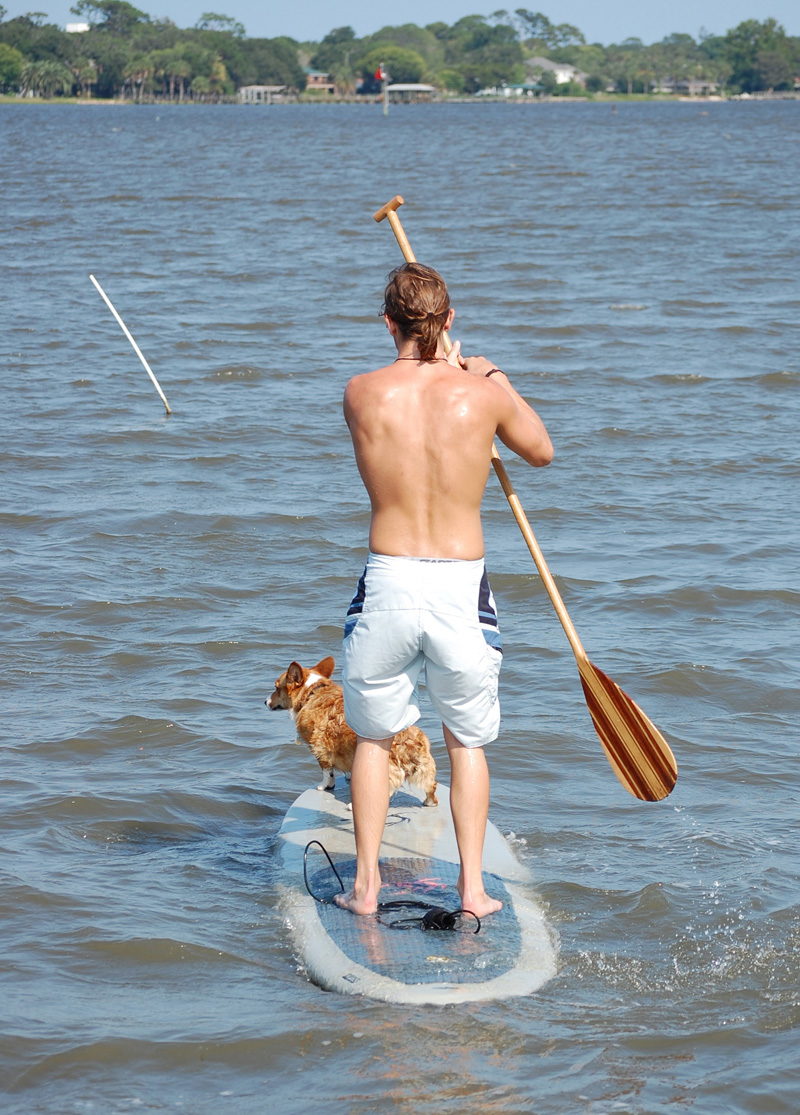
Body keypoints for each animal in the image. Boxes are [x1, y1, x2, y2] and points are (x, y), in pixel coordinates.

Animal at [268, 655, 437, 807]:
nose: (265, 701)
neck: (311, 692)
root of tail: (411, 742)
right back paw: (429, 802)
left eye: (276, 688)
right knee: (432, 786)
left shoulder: (319, 749)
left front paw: (324, 786)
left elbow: (326, 772)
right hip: (426, 769)